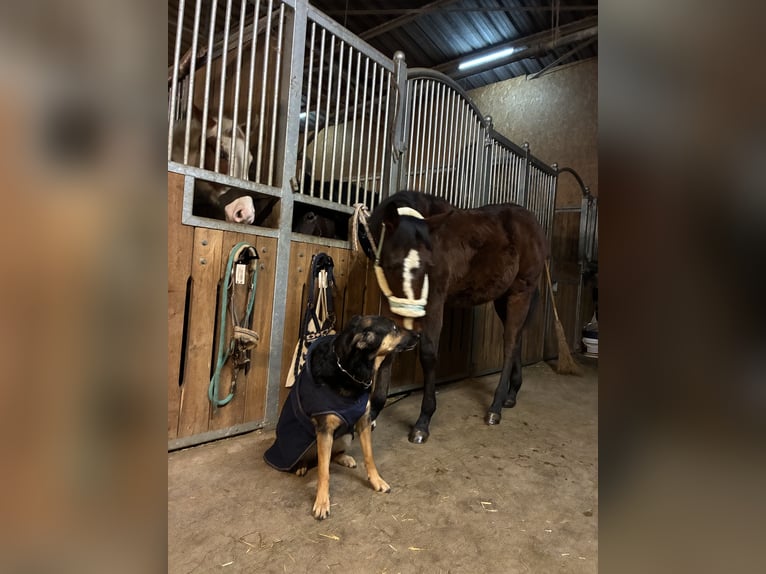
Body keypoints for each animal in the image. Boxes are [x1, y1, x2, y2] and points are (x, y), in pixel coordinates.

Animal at [364, 190, 548, 443]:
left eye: (429, 265)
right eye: (392, 264)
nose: (412, 313)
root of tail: (533, 225)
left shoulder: (434, 302)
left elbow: (429, 355)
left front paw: (422, 423)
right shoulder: (391, 302)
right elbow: (388, 350)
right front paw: (372, 415)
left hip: (521, 293)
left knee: (510, 345)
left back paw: (495, 407)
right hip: (503, 298)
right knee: (517, 339)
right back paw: (511, 395)